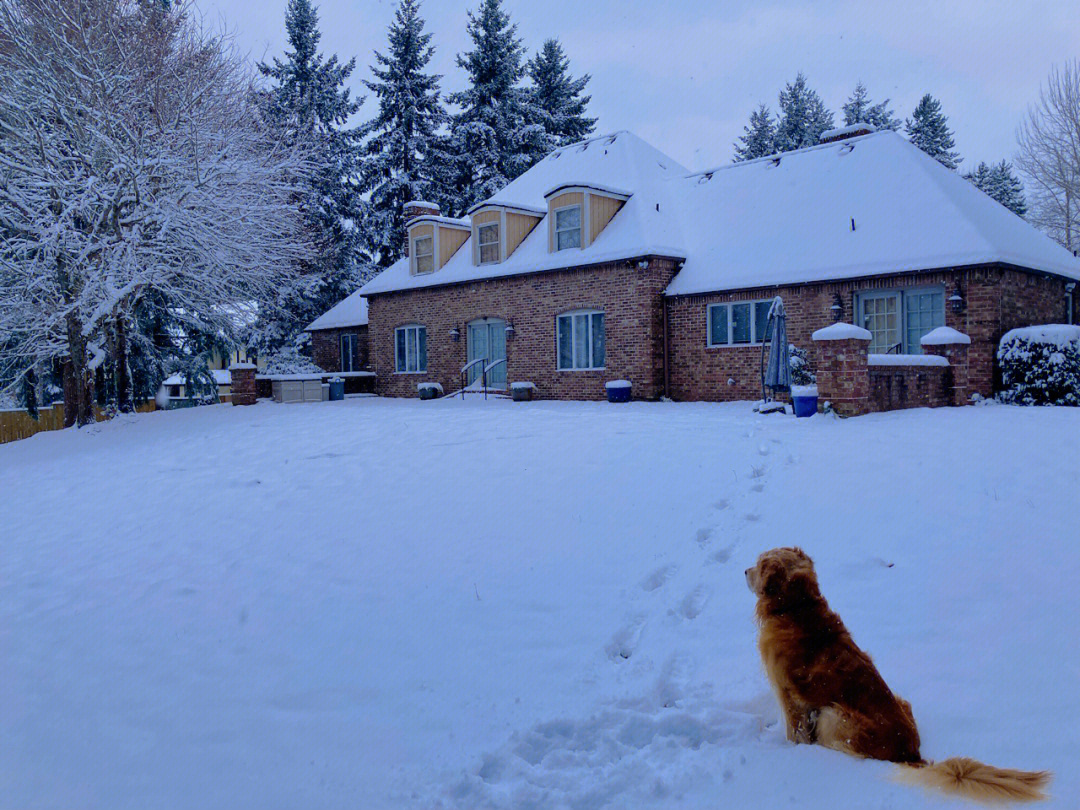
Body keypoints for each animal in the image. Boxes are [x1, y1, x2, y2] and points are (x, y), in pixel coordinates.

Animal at [743, 548, 1045, 803]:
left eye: (758, 564)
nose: (745, 570)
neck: (797, 607)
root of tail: (912, 753)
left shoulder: (787, 694)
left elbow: (794, 732)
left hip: (835, 714)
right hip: (900, 700)